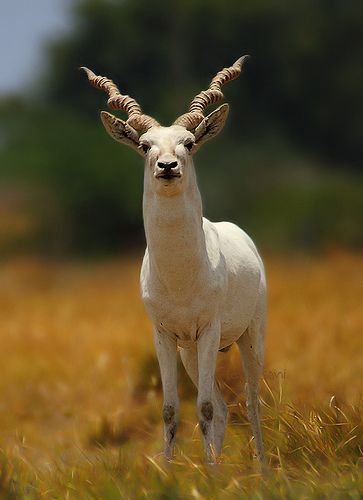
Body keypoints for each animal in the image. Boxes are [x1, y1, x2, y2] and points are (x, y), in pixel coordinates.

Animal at [84, 56, 268, 466]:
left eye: (188, 142)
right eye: (145, 145)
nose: (167, 166)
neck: (181, 277)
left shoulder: (209, 329)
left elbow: (202, 408)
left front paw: (209, 474)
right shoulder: (165, 334)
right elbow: (171, 410)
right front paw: (168, 471)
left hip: (250, 336)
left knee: (251, 404)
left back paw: (265, 472)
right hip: (190, 352)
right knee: (224, 407)